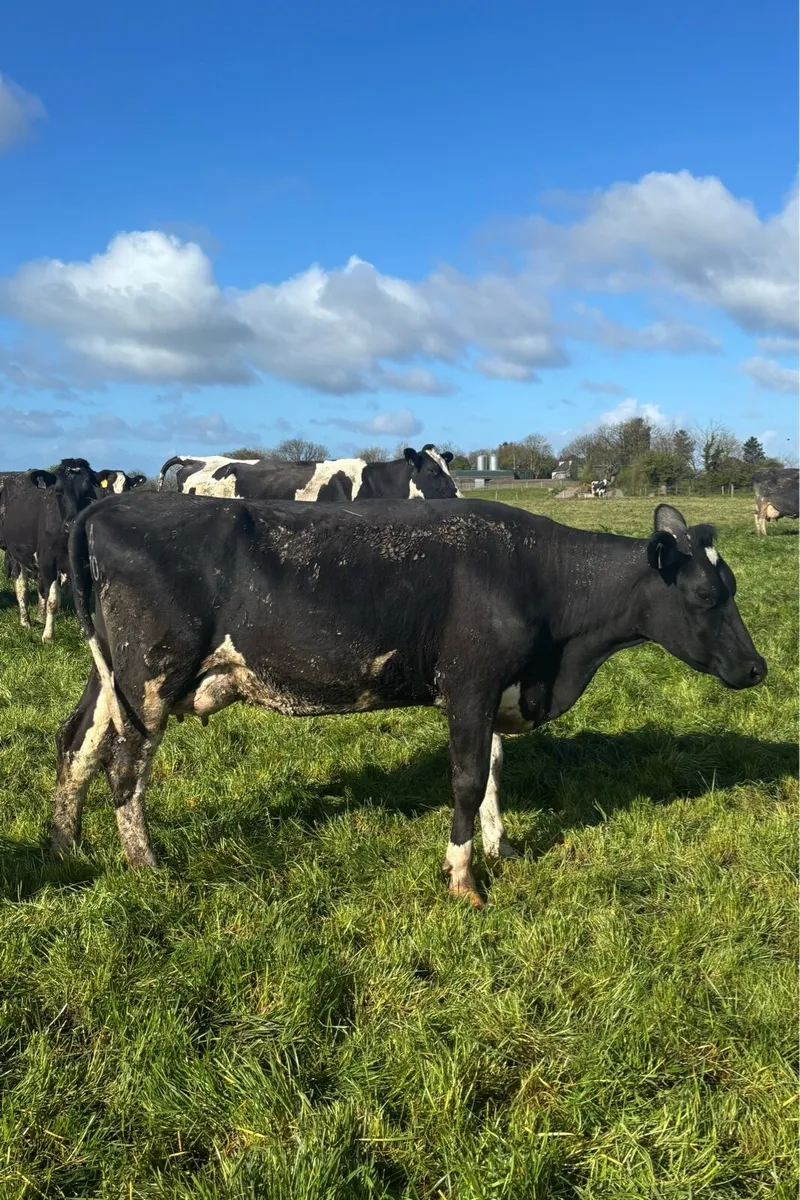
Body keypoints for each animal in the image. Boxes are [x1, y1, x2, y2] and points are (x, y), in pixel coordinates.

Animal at [3, 458, 101, 641]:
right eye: (58, 491)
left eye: (88, 490)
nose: (73, 522)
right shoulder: (48, 563)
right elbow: (53, 600)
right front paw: (48, 635)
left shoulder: (83, 565)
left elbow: (82, 599)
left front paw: (85, 632)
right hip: (15, 556)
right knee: (21, 588)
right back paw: (25, 622)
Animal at [52, 497, 766, 905]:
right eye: (707, 595)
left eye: (733, 584)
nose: (758, 668)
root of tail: (110, 508)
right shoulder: (471, 684)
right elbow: (467, 779)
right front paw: (464, 879)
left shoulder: (498, 687)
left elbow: (494, 773)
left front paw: (500, 847)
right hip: (150, 678)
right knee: (125, 768)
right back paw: (146, 866)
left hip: (110, 675)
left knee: (76, 746)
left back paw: (66, 847)